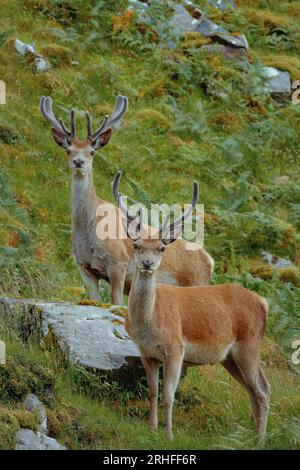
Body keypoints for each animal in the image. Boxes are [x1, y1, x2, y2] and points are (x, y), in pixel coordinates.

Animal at [39, 96, 213, 304]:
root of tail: (210, 261)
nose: (79, 162)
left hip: (196, 282)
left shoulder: (118, 264)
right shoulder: (84, 267)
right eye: (68, 150)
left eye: (92, 151)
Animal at [113, 173, 272, 440]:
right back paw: (250, 436)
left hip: (249, 345)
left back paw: (260, 439)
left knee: (263, 389)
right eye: (136, 245)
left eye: (161, 248)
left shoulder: (176, 349)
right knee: (253, 388)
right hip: (229, 357)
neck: (149, 323)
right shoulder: (147, 353)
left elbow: (168, 395)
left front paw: (168, 435)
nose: (146, 263)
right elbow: (152, 392)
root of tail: (264, 303)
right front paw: (152, 428)